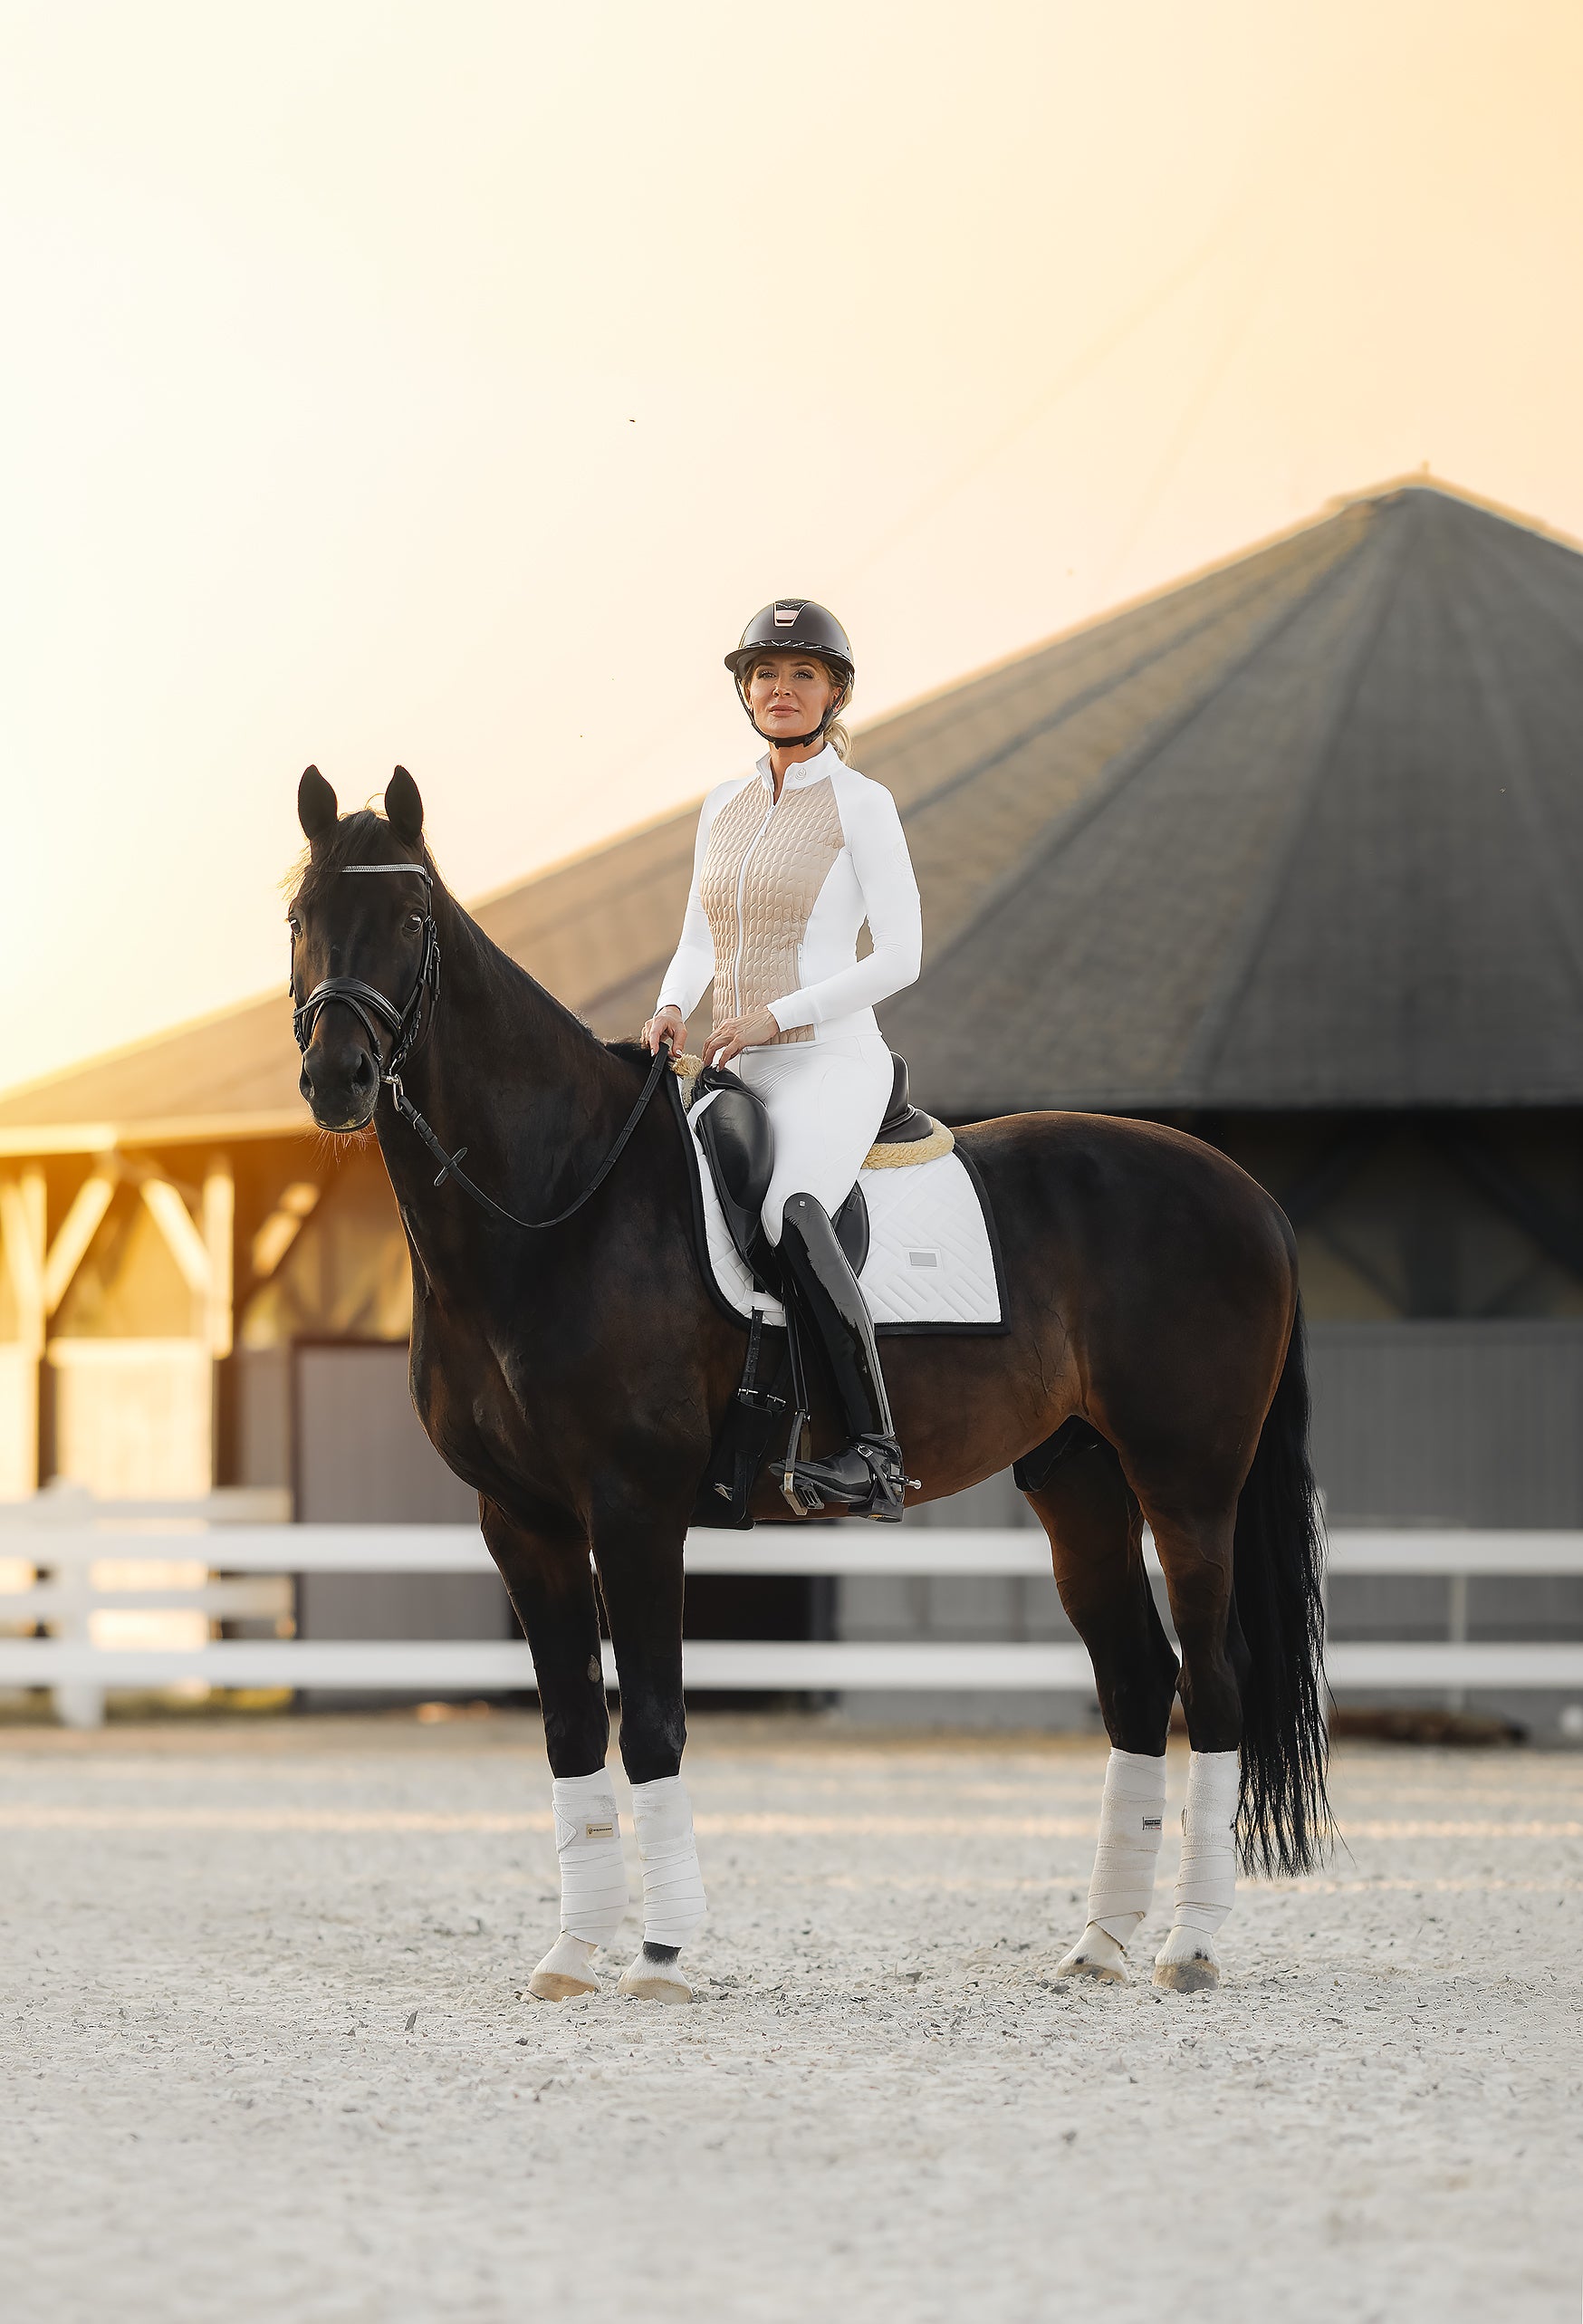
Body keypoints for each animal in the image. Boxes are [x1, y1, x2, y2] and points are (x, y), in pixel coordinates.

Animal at [288, 765, 1329, 2002]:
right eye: (299, 918)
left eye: (410, 919)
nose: (337, 1078)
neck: (558, 1204)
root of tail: (1245, 1192)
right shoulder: (522, 1518)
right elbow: (569, 1734)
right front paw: (572, 1953)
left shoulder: (633, 1508)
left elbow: (650, 1724)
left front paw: (660, 1954)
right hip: (1078, 1481)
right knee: (1136, 1679)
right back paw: (1099, 1944)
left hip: (1186, 1483)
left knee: (1213, 1681)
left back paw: (1188, 1945)